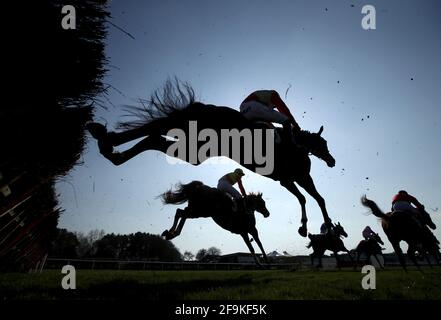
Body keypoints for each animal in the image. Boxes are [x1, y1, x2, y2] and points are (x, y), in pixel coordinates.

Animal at [85, 79, 334, 236]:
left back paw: (110, 148)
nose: (332, 162)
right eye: (323, 144)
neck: (296, 146)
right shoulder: (295, 177)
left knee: (154, 138)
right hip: (194, 131)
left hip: (197, 149)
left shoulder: (288, 180)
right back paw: (104, 137)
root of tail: (207, 106)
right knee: (157, 127)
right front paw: (325, 225)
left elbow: (308, 198)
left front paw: (307, 227)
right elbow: (315, 199)